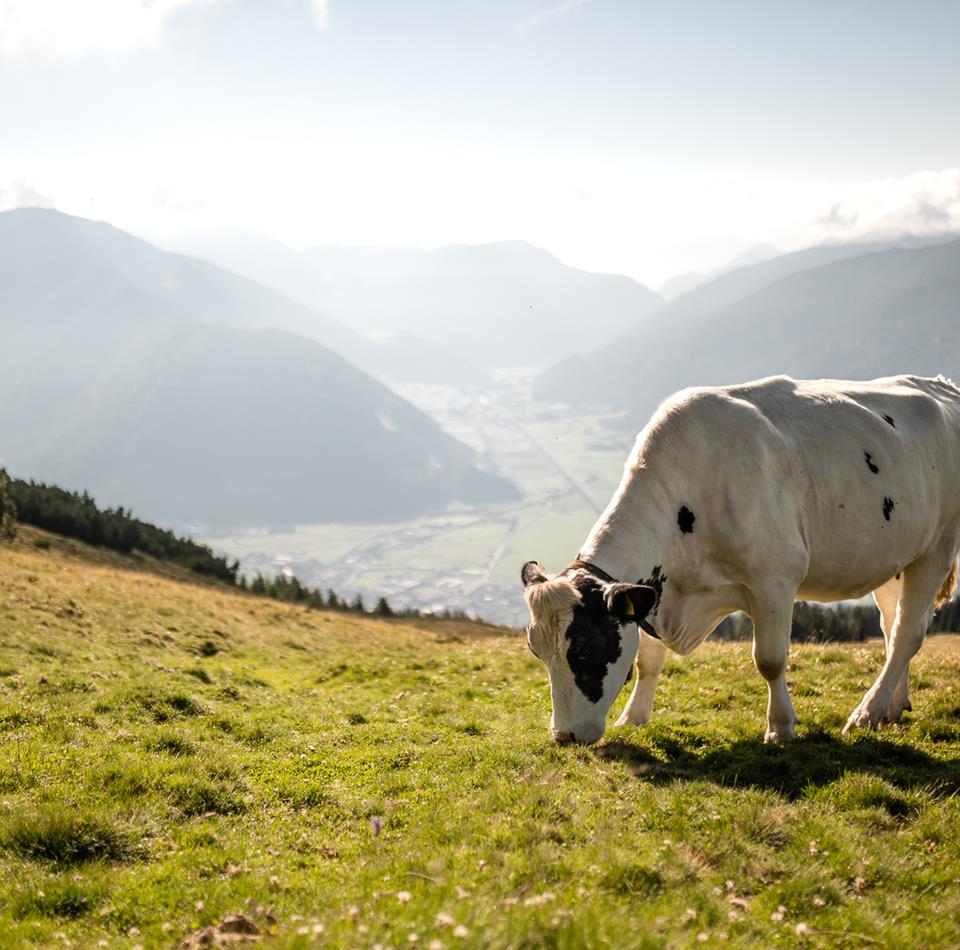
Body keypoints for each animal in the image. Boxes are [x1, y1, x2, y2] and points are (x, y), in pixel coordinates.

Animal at [522, 374, 960, 745]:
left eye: (582, 651)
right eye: (536, 651)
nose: (564, 736)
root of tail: (939, 384)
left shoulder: (775, 580)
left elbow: (770, 660)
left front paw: (781, 727)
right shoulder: (654, 596)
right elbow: (649, 659)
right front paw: (634, 717)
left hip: (937, 546)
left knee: (907, 633)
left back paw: (867, 713)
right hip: (896, 559)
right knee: (892, 626)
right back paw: (892, 707)